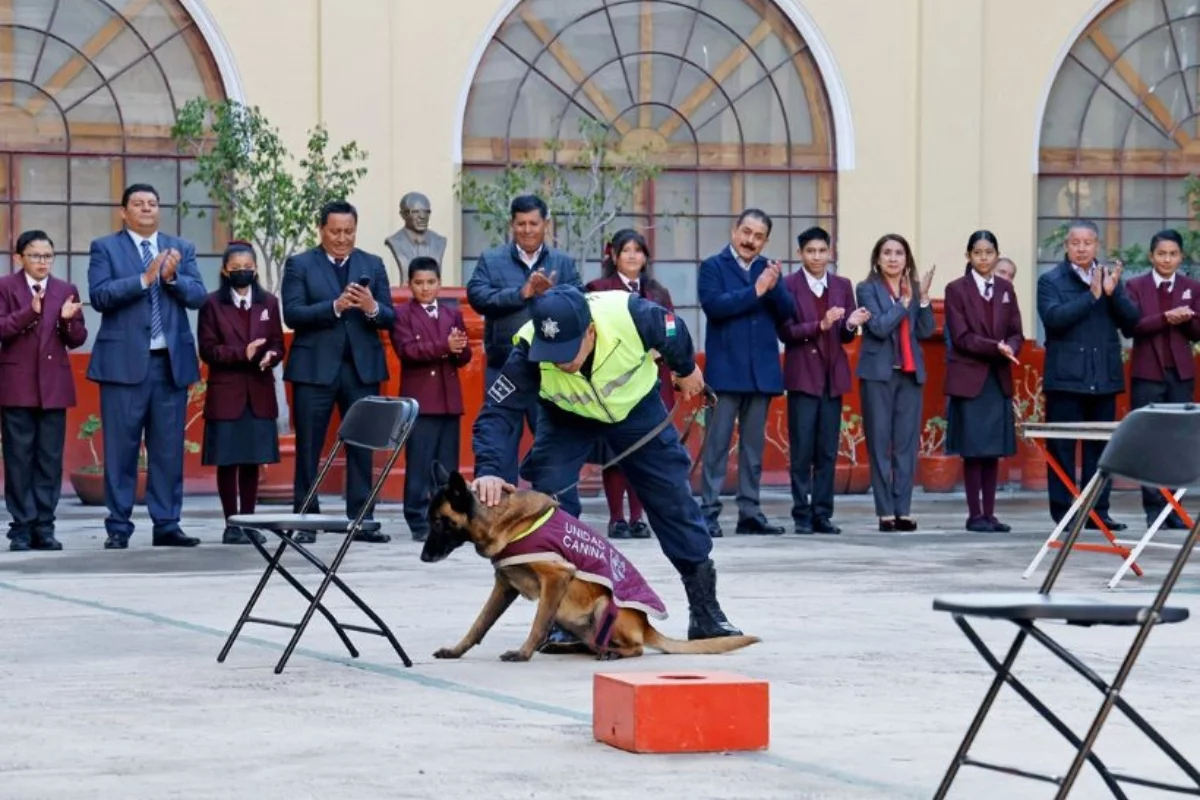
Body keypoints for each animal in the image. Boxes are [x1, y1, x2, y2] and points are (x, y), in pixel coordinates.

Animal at [422, 470, 758, 662]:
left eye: (439, 523)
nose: (424, 558)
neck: (504, 521)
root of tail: (646, 626)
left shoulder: (556, 577)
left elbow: (538, 624)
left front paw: (523, 653)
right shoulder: (504, 586)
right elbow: (479, 624)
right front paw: (456, 650)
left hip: (604, 607)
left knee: (632, 648)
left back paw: (611, 653)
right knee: (590, 644)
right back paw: (567, 647)